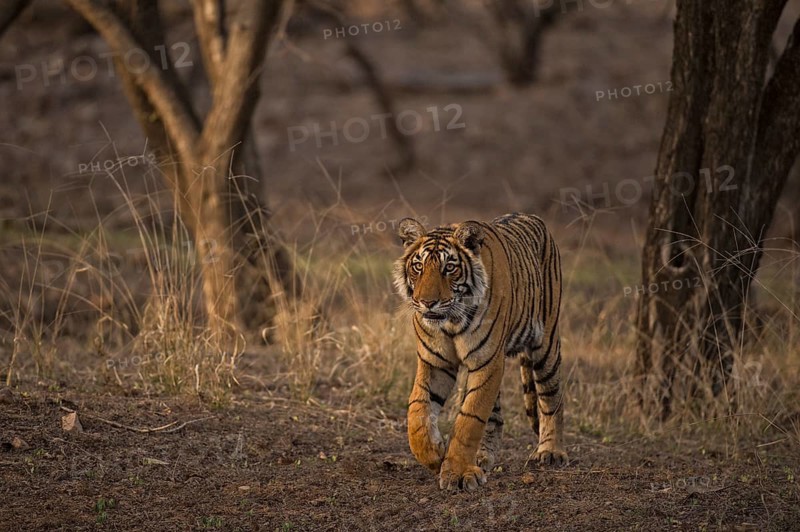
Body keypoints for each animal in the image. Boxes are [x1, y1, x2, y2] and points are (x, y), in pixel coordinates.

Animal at [393, 212, 567, 491]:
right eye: (418, 266)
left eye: (449, 268)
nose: (427, 303)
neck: (451, 321)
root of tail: (532, 216)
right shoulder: (434, 362)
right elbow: (418, 412)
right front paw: (435, 455)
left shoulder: (487, 362)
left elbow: (470, 419)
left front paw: (457, 473)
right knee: (496, 417)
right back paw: (483, 457)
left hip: (546, 345)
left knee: (552, 398)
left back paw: (551, 451)